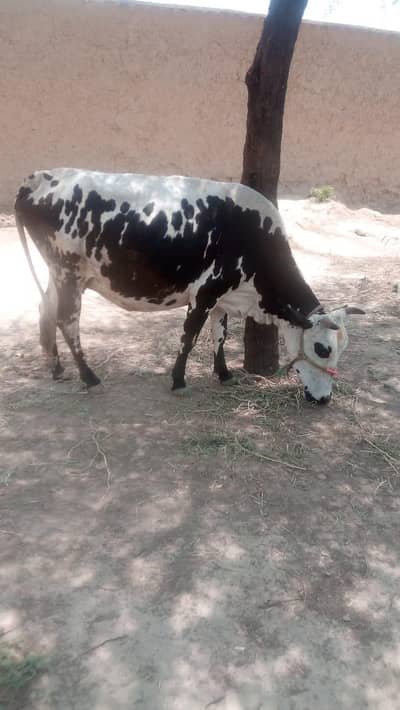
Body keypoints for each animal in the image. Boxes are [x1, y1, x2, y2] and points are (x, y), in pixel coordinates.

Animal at [14, 168, 364, 404]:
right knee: (66, 320)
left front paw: (224, 374)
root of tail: (40, 177)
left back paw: (57, 368)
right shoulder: (205, 292)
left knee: (45, 309)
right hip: (68, 271)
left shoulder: (224, 298)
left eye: (342, 349)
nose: (324, 400)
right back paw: (89, 377)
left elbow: (219, 336)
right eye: (322, 348)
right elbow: (190, 338)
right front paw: (179, 380)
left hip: (60, 274)